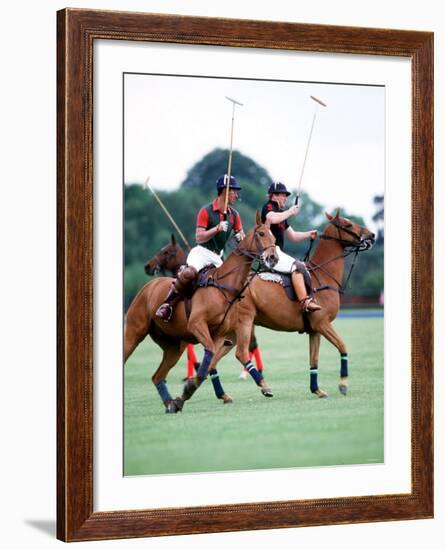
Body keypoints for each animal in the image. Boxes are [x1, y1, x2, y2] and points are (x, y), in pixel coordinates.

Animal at [125, 213, 276, 416]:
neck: (224, 287)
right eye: (261, 234)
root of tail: (147, 287)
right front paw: (188, 391)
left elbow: (207, 367)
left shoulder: (219, 334)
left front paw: (183, 396)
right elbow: (207, 364)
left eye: (273, 236)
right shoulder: (196, 325)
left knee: (157, 376)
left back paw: (170, 404)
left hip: (173, 347)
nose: (273, 258)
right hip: (133, 332)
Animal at [225, 211, 374, 396]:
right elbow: (342, 346)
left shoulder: (315, 330)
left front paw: (317, 390)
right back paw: (263, 386)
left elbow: (314, 360)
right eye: (347, 224)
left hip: (230, 329)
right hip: (244, 321)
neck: (322, 276)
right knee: (241, 352)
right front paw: (343, 384)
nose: (372, 235)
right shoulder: (323, 323)